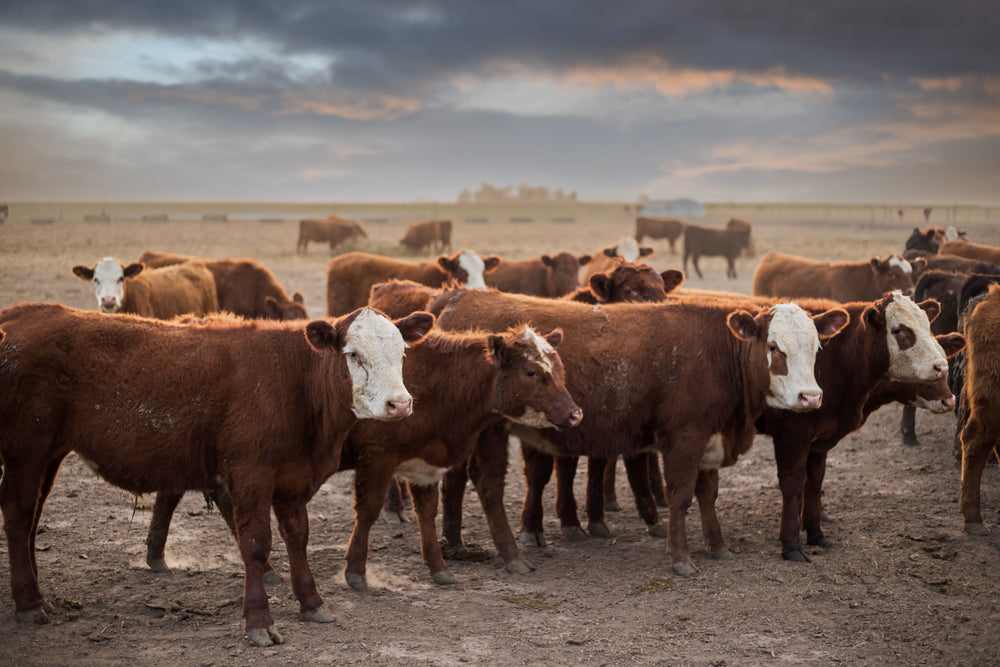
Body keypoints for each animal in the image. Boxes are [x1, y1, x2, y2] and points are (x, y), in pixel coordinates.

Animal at [0, 303, 434, 646]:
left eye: (402, 353)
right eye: (354, 354)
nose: (399, 403)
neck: (292, 381)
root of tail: (17, 315)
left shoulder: (293, 481)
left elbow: (298, 539)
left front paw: (312, 603)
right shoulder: (250, 474)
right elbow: (256, 545)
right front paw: (259, 622)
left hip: (50, 452)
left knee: (33, 514)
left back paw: (40, 595)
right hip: (26, 449)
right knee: (19, 515)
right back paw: (29, 603)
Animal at [424, 288, 849, 575]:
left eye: (817, 349)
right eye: (774, 347)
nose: (810, 397)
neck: (717, 353)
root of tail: (460, 296)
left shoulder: (711, 437)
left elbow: (708, 494)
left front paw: (717, 545)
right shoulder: (684, 438)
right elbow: (680, 497)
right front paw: (681, 558)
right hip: (490, 431)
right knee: (489, 485)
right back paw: (511, 556)